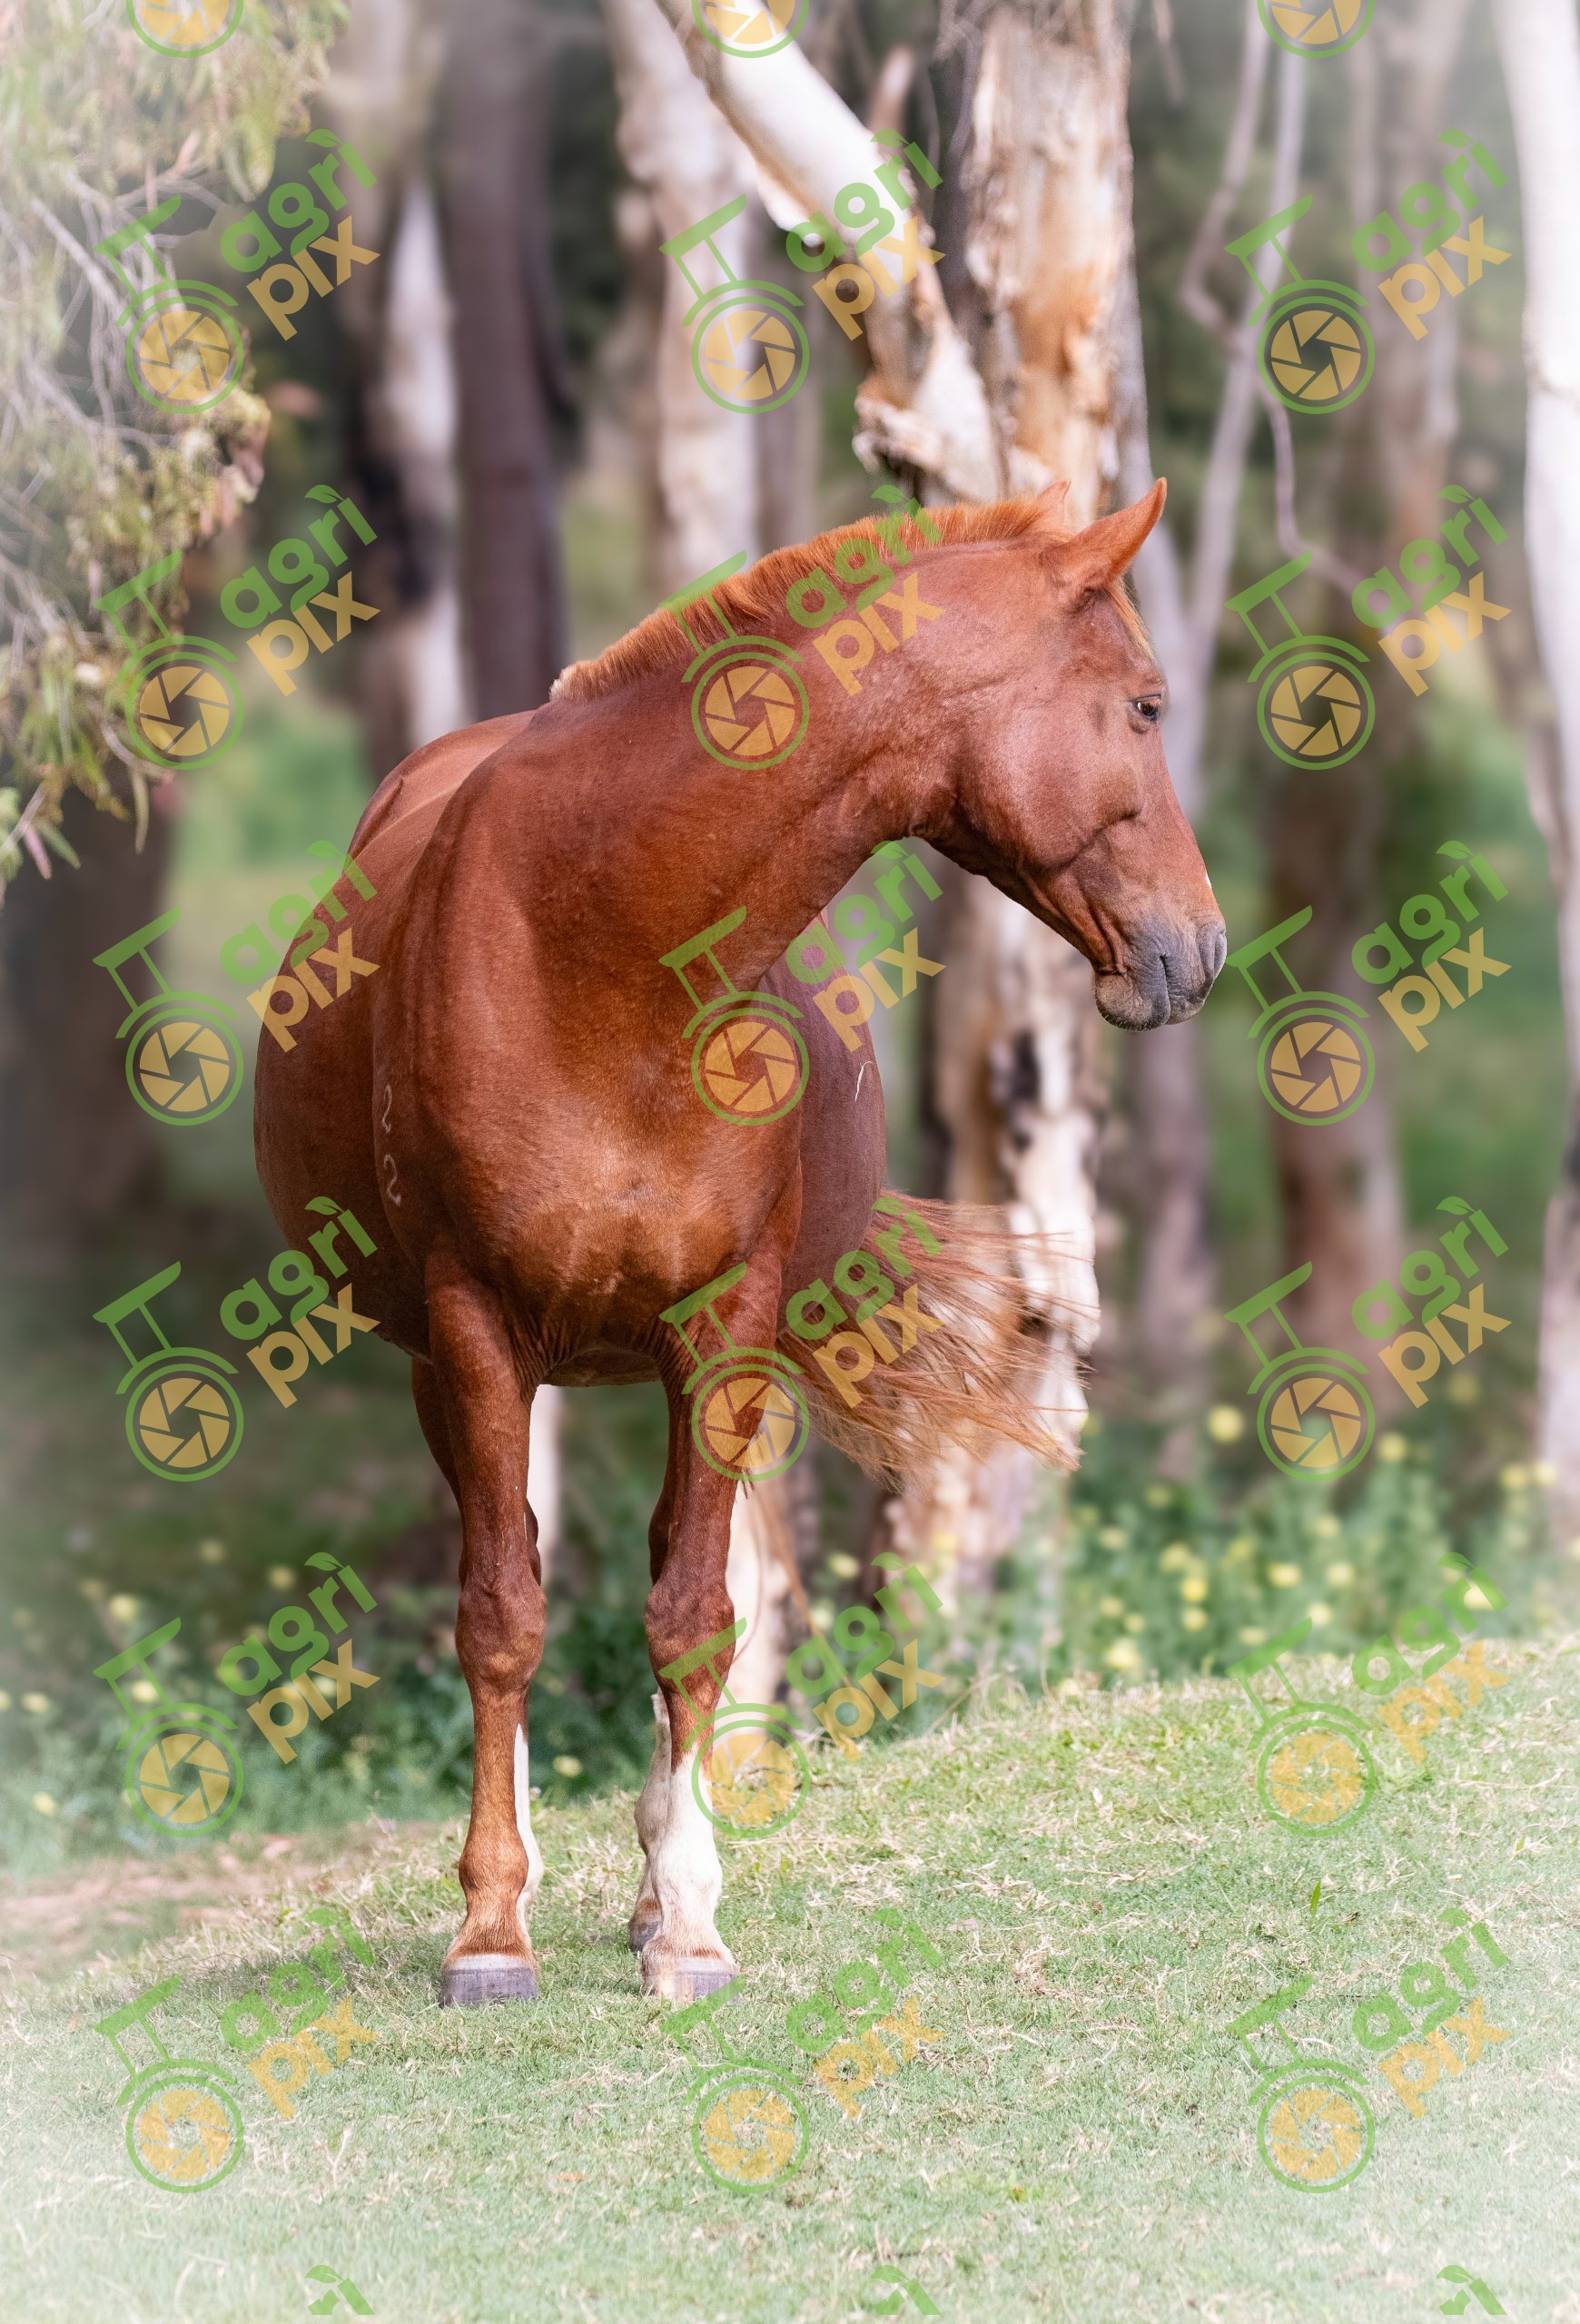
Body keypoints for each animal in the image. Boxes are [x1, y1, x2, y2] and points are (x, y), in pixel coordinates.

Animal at [252, 478, 1225, 2009]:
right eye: (1144, 703)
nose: (1202, 946)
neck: (599, 948)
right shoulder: (473, 1327)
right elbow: (501, 1617)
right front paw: (489, 1929)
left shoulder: (723, 1324)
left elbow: (697, 1614)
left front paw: (690, 1924)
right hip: (454, 1371)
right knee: (518, 1564)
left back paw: (653, 1888)